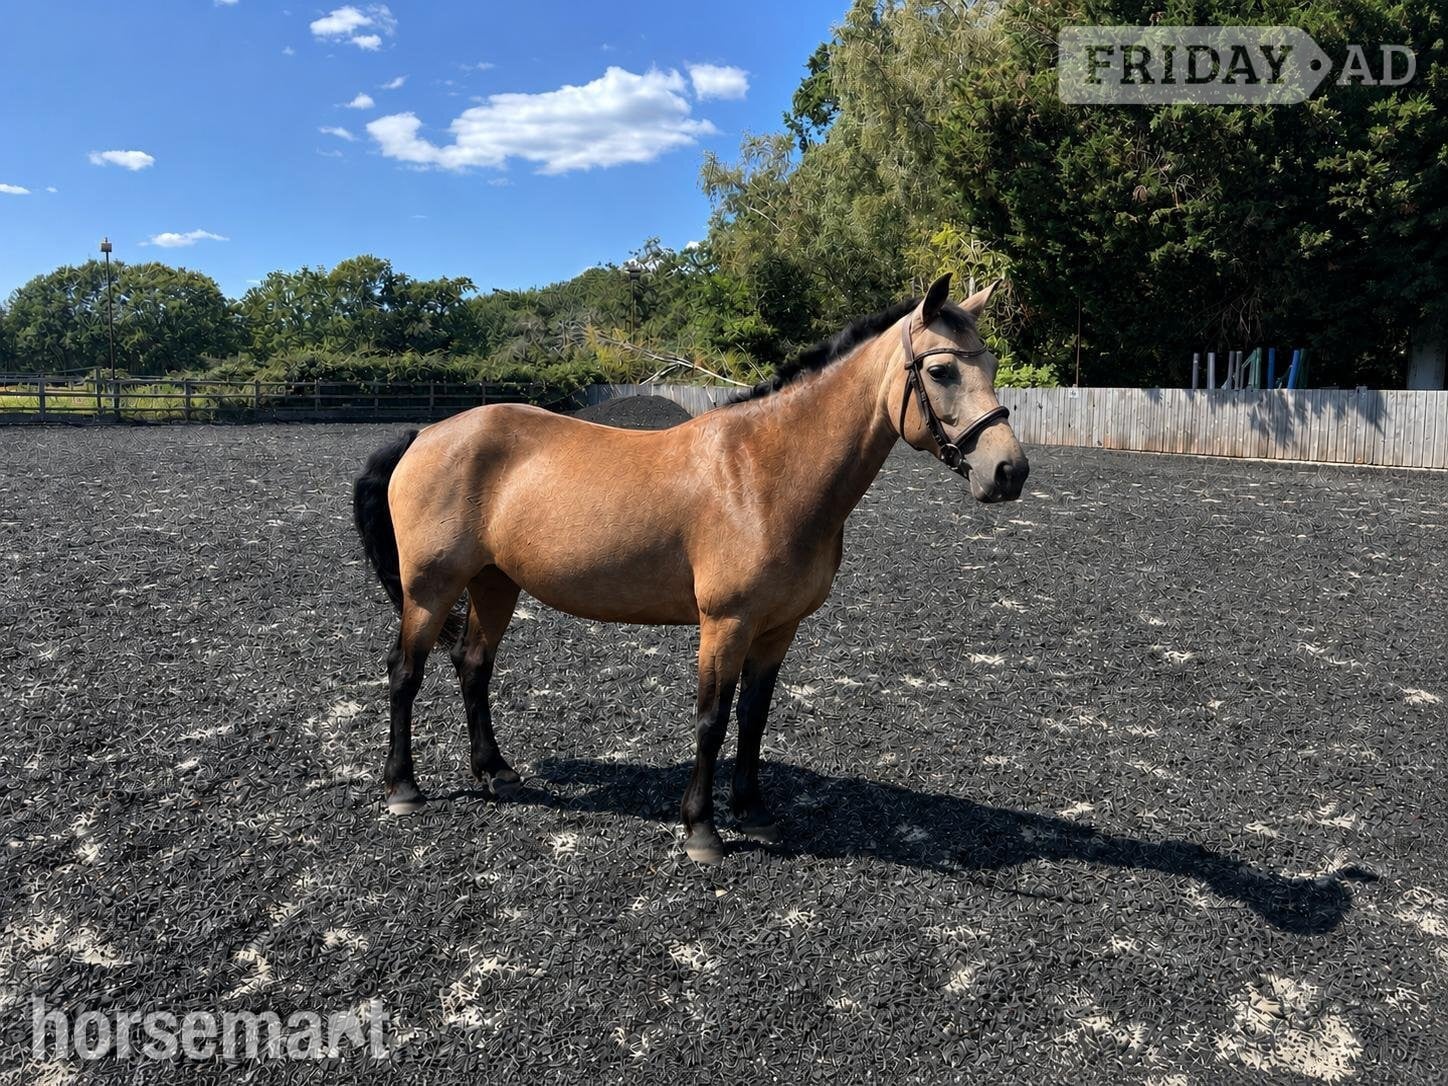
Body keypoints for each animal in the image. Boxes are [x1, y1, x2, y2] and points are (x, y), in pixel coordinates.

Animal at [352, 273, 1029, 864]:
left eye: (993, 367)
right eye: (940, 371)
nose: (1009, 472)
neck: (765, 473)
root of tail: (424, 435)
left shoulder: (777, 628)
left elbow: (754, 717)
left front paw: (753, 811)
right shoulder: (724, 623)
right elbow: (712, 719)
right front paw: (702, 829)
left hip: (495, 583)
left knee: (473, 665)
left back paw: (497, 773)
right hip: (430, 588)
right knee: (405, 672)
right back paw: (404, 788)